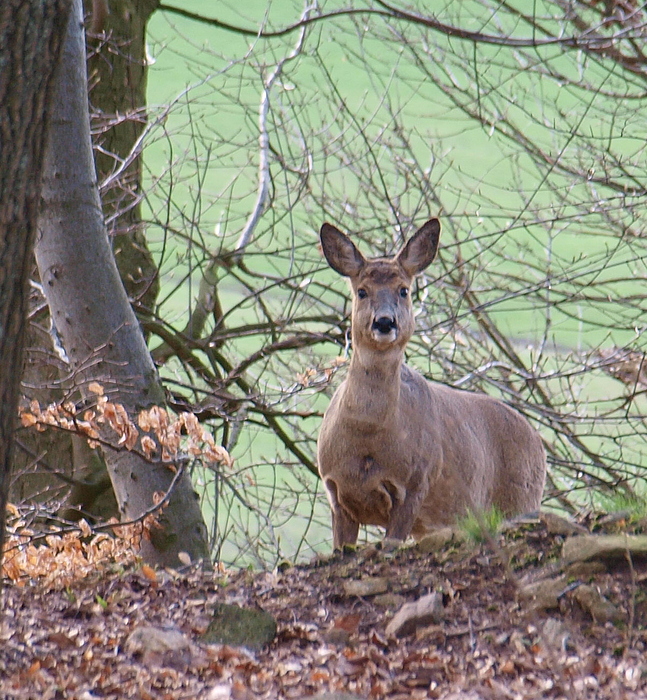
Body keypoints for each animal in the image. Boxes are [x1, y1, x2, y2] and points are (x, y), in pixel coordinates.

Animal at [318, 219, 548, 548]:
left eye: (404, 290)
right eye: (361, 291)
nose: (385, 322)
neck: (367, 441)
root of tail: (539, 442)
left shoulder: (417, 482)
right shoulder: (335, 490)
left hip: (521, 499)